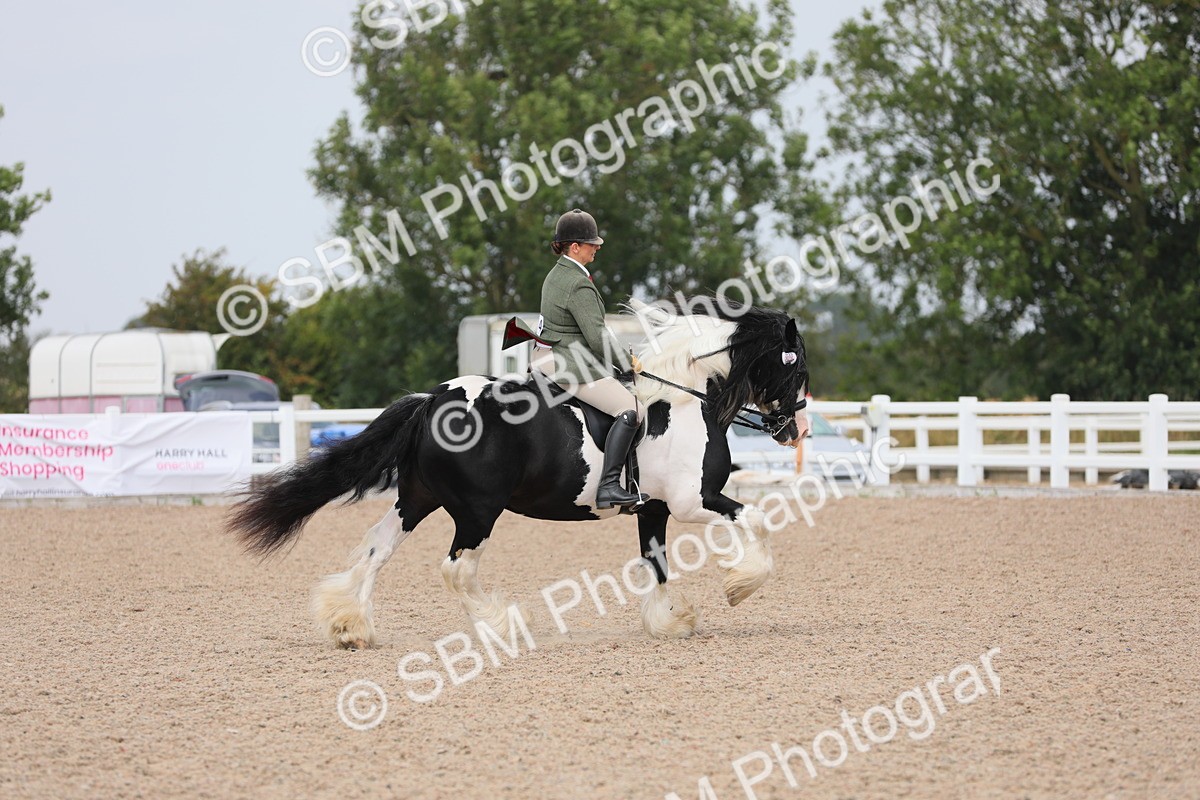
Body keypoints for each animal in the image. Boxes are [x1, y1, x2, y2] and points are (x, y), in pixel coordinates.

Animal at [226, 300, 810, 648]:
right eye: (795, 364)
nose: (797, 429)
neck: (684, 399)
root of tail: (431, 400)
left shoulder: (657, 507)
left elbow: (656, 561)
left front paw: (672, 618)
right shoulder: (694, 501)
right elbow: (754, 519)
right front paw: (739, 586)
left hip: (416, 500)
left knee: (377, 549)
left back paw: (350, 625)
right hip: (477, 511)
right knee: (456, 569)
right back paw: (503, 625)